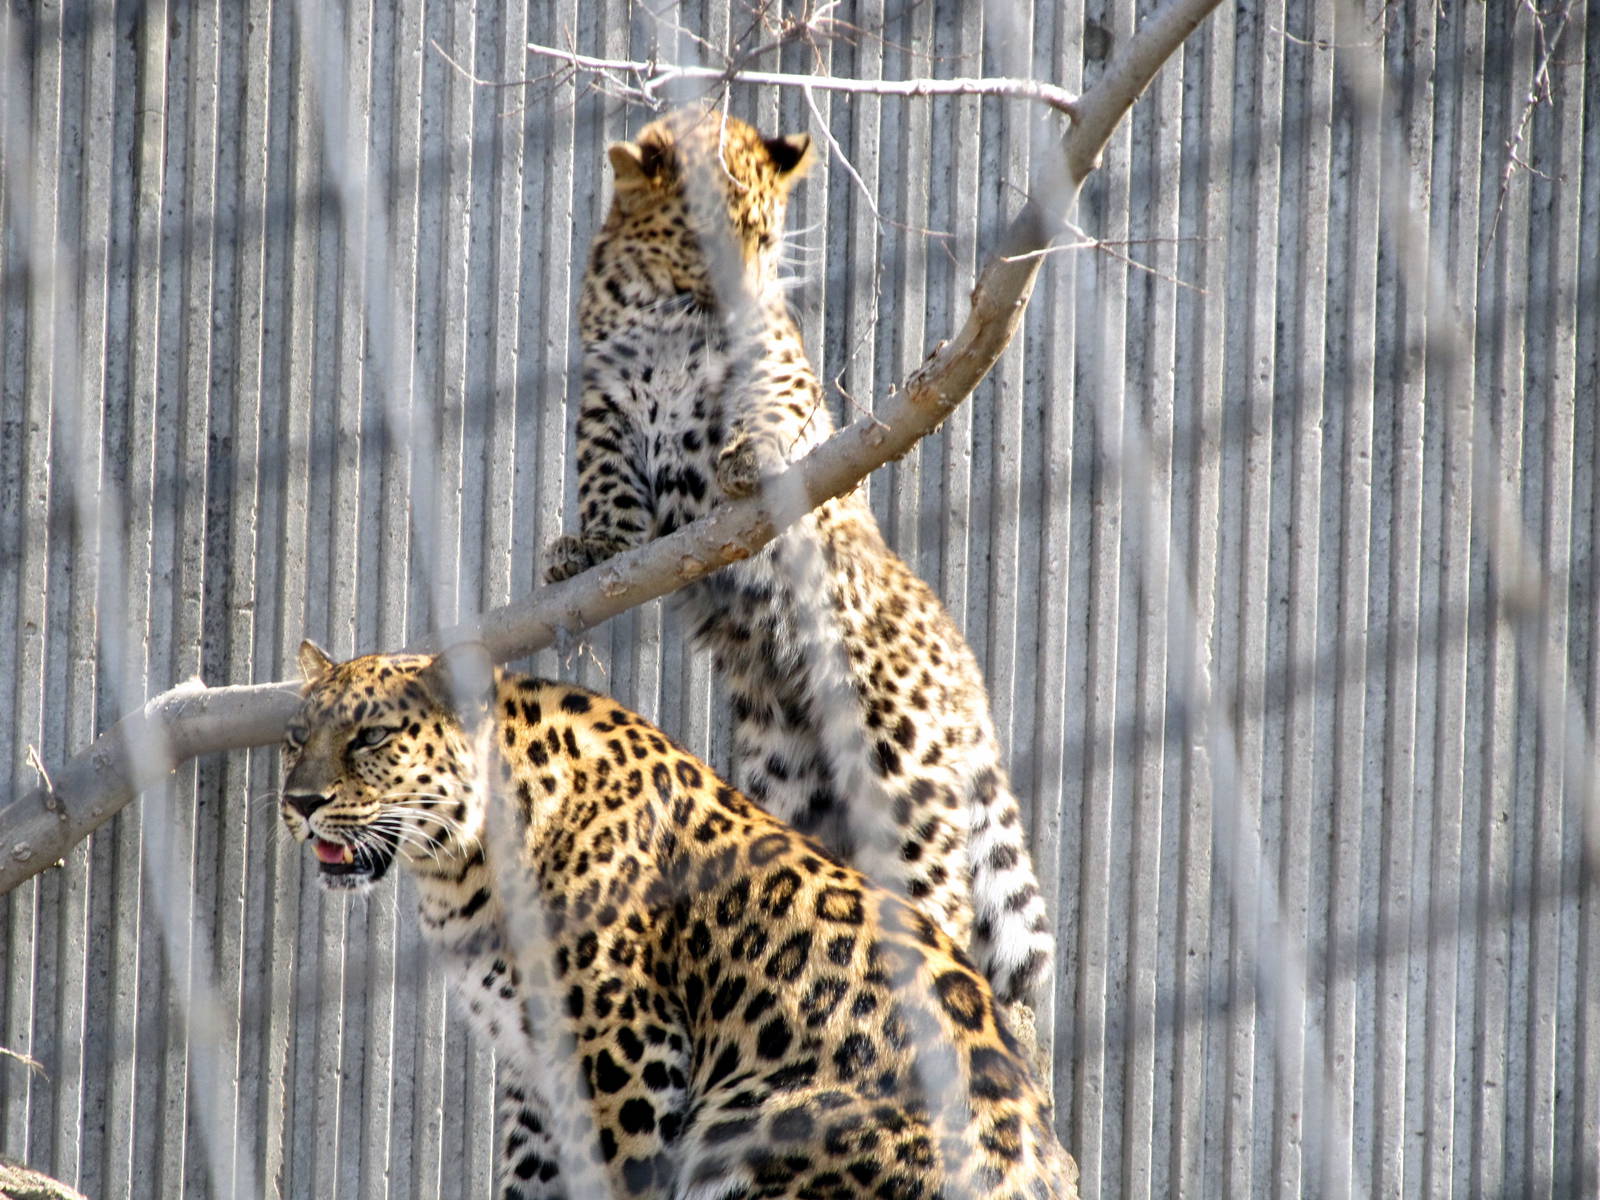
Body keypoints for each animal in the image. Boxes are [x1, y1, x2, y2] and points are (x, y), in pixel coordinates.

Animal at [280, 642, 1078, 1199]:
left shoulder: (622, 1050)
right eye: (295, 736)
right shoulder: (531, 1068)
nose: (299, 802)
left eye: (371, 737)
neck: (458, 865)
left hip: (756, 1119)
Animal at [543, 107, 1055, 1031]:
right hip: (793, 787)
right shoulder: (602, 404)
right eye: (703, 235)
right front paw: (590, 549)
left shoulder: (771, 370)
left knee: (943, 913)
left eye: (765, 238)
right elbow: (605, 484)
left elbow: (770, 412)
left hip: (905, 781)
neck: (662, 308)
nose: (741, 290)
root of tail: (970, 681)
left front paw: (748, 463)